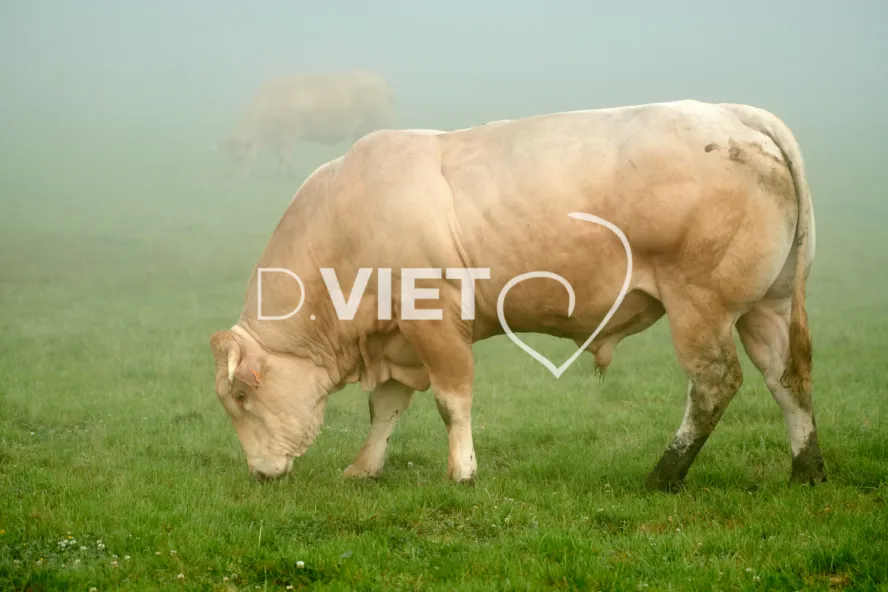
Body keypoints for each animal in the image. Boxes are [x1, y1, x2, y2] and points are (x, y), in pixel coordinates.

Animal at [209, 99, 824, 491]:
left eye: (240, 395)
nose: (259, 472)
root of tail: (734, 113)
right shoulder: (396, 337)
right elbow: (385, 407)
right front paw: (365, 468)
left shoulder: (434, 320)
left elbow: (451, 400)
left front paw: (461, 472)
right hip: (764, 306)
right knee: (786, 378)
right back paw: (806, 469)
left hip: (701, 305)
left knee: (714, 384)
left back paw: (664, 475)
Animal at [218, 70, 397, 178]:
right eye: (232, 157)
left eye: (242, 156)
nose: (241, 177)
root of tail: (381, 82)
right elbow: (282, 156)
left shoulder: (291, 130)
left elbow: (285, 155)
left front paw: (282, 175)